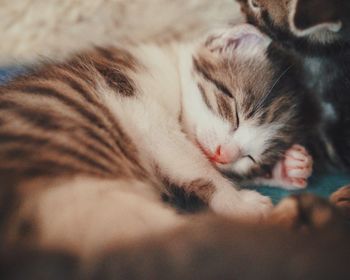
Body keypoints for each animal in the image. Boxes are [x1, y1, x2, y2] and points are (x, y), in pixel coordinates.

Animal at [0, 24, 312, 256]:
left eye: (251, 158)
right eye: (234, 112)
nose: (223, 154)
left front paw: (290, 167)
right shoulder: (141, 108)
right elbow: (194, 164)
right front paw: (239, 202)